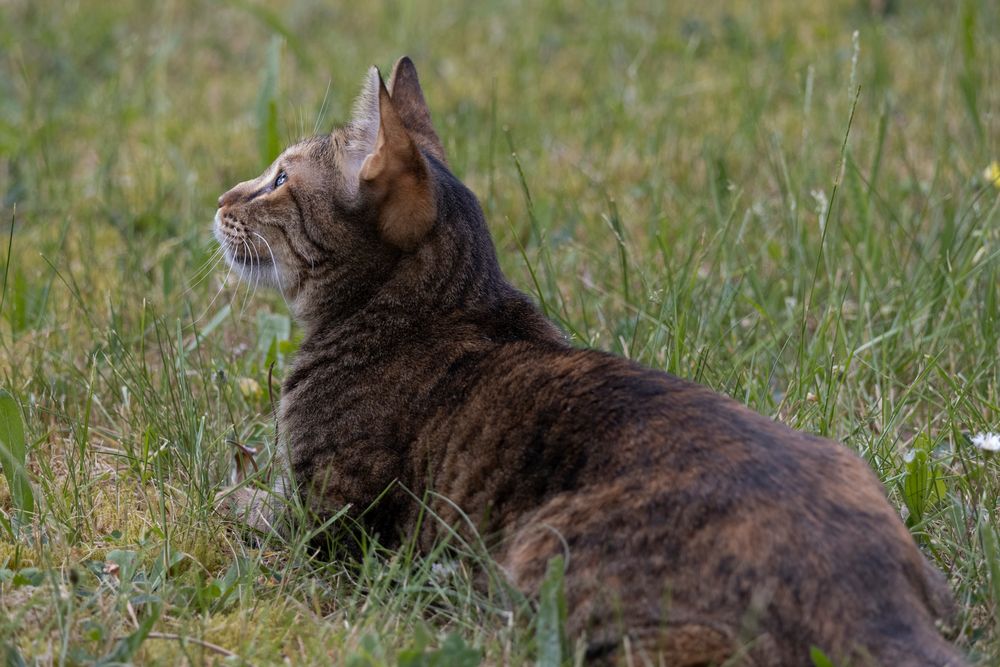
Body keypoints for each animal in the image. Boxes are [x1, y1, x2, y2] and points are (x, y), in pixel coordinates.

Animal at [213, 58, 968, 667]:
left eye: (279, 178)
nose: (220, 198)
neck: (437, 307)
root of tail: (875, 601)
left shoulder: (332, 522)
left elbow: (245, 503)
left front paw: (232, 494)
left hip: (544, 558)